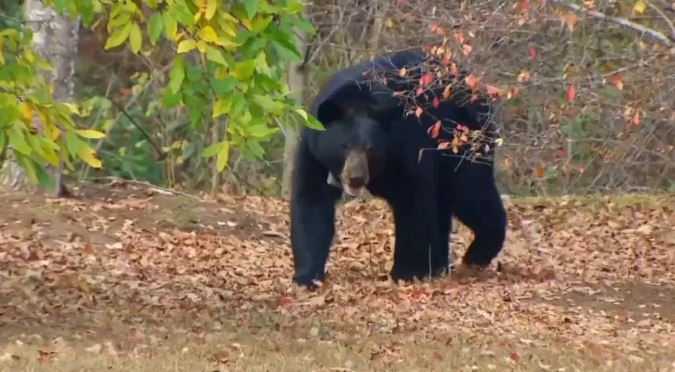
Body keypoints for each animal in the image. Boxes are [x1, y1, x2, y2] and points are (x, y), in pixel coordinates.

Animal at [290, 48, 508, 288]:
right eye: (343, 146)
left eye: (370, 148)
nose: (356, 178)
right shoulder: (313, 152)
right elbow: (312, 199)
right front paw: (307, 275)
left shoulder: (404, 143)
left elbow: (413, 199)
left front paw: (407, 271)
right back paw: (440, 264)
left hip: (463, 138)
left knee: (470, 192)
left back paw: (477, 253)